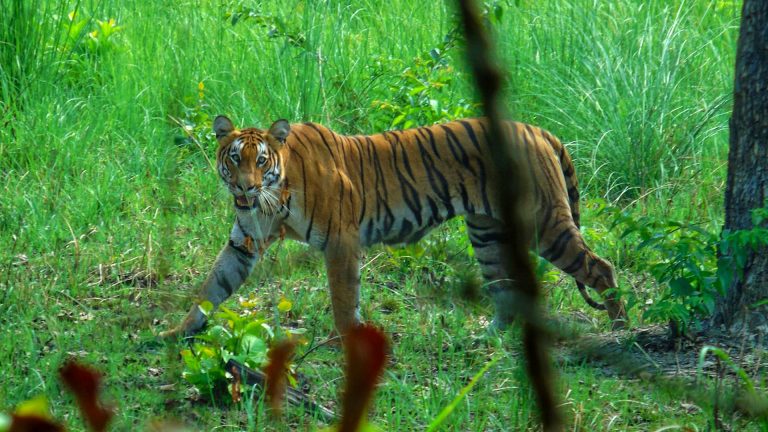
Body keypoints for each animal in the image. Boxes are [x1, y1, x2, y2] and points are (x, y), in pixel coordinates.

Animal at [160, 115, 627, 339]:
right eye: (234, 158)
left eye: (260, 161)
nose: (245, 187)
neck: (275, 193)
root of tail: (537, 129)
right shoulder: (244, 240)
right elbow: (212, 287)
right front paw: (179, 331)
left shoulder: (341, 241)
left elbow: (343, 298)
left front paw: (346, 341)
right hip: (487, 233)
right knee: (504, 287)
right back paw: (487, 338)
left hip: (544, 222)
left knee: (600, 268)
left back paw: (622, 331)